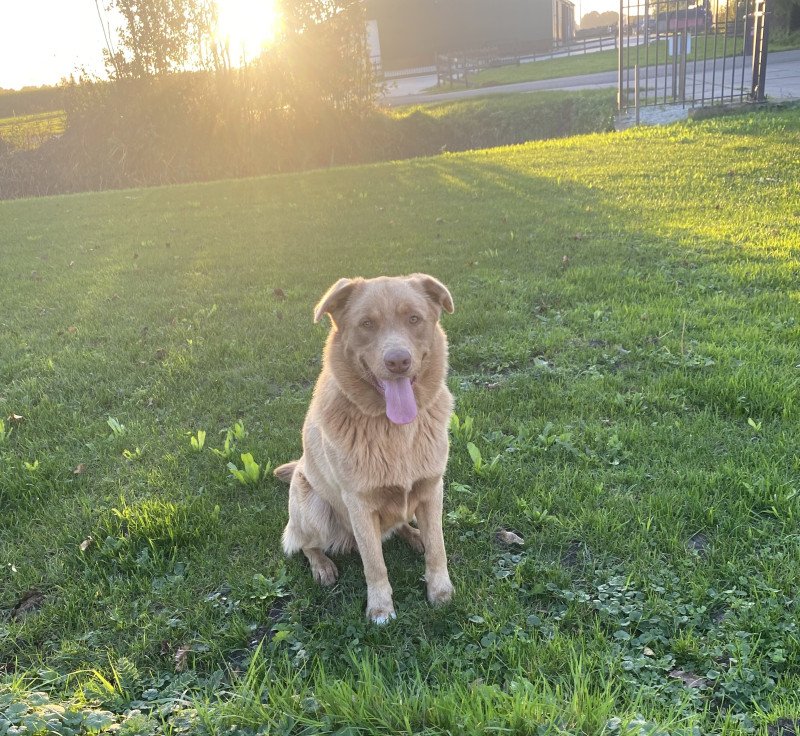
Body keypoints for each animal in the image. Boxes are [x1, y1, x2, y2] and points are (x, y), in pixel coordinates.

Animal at [274, 274, 456, 624]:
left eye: (414, 319)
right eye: (366, 324)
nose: (398, 361)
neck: (394, 429)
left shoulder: (431, 489)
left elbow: (438, 547)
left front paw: (440, 591)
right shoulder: (358, 503)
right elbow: (374, 564)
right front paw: (381, 608)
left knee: (400, 526)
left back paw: (414, 536)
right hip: (313, 508)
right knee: (304, 543)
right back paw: (322, 567)